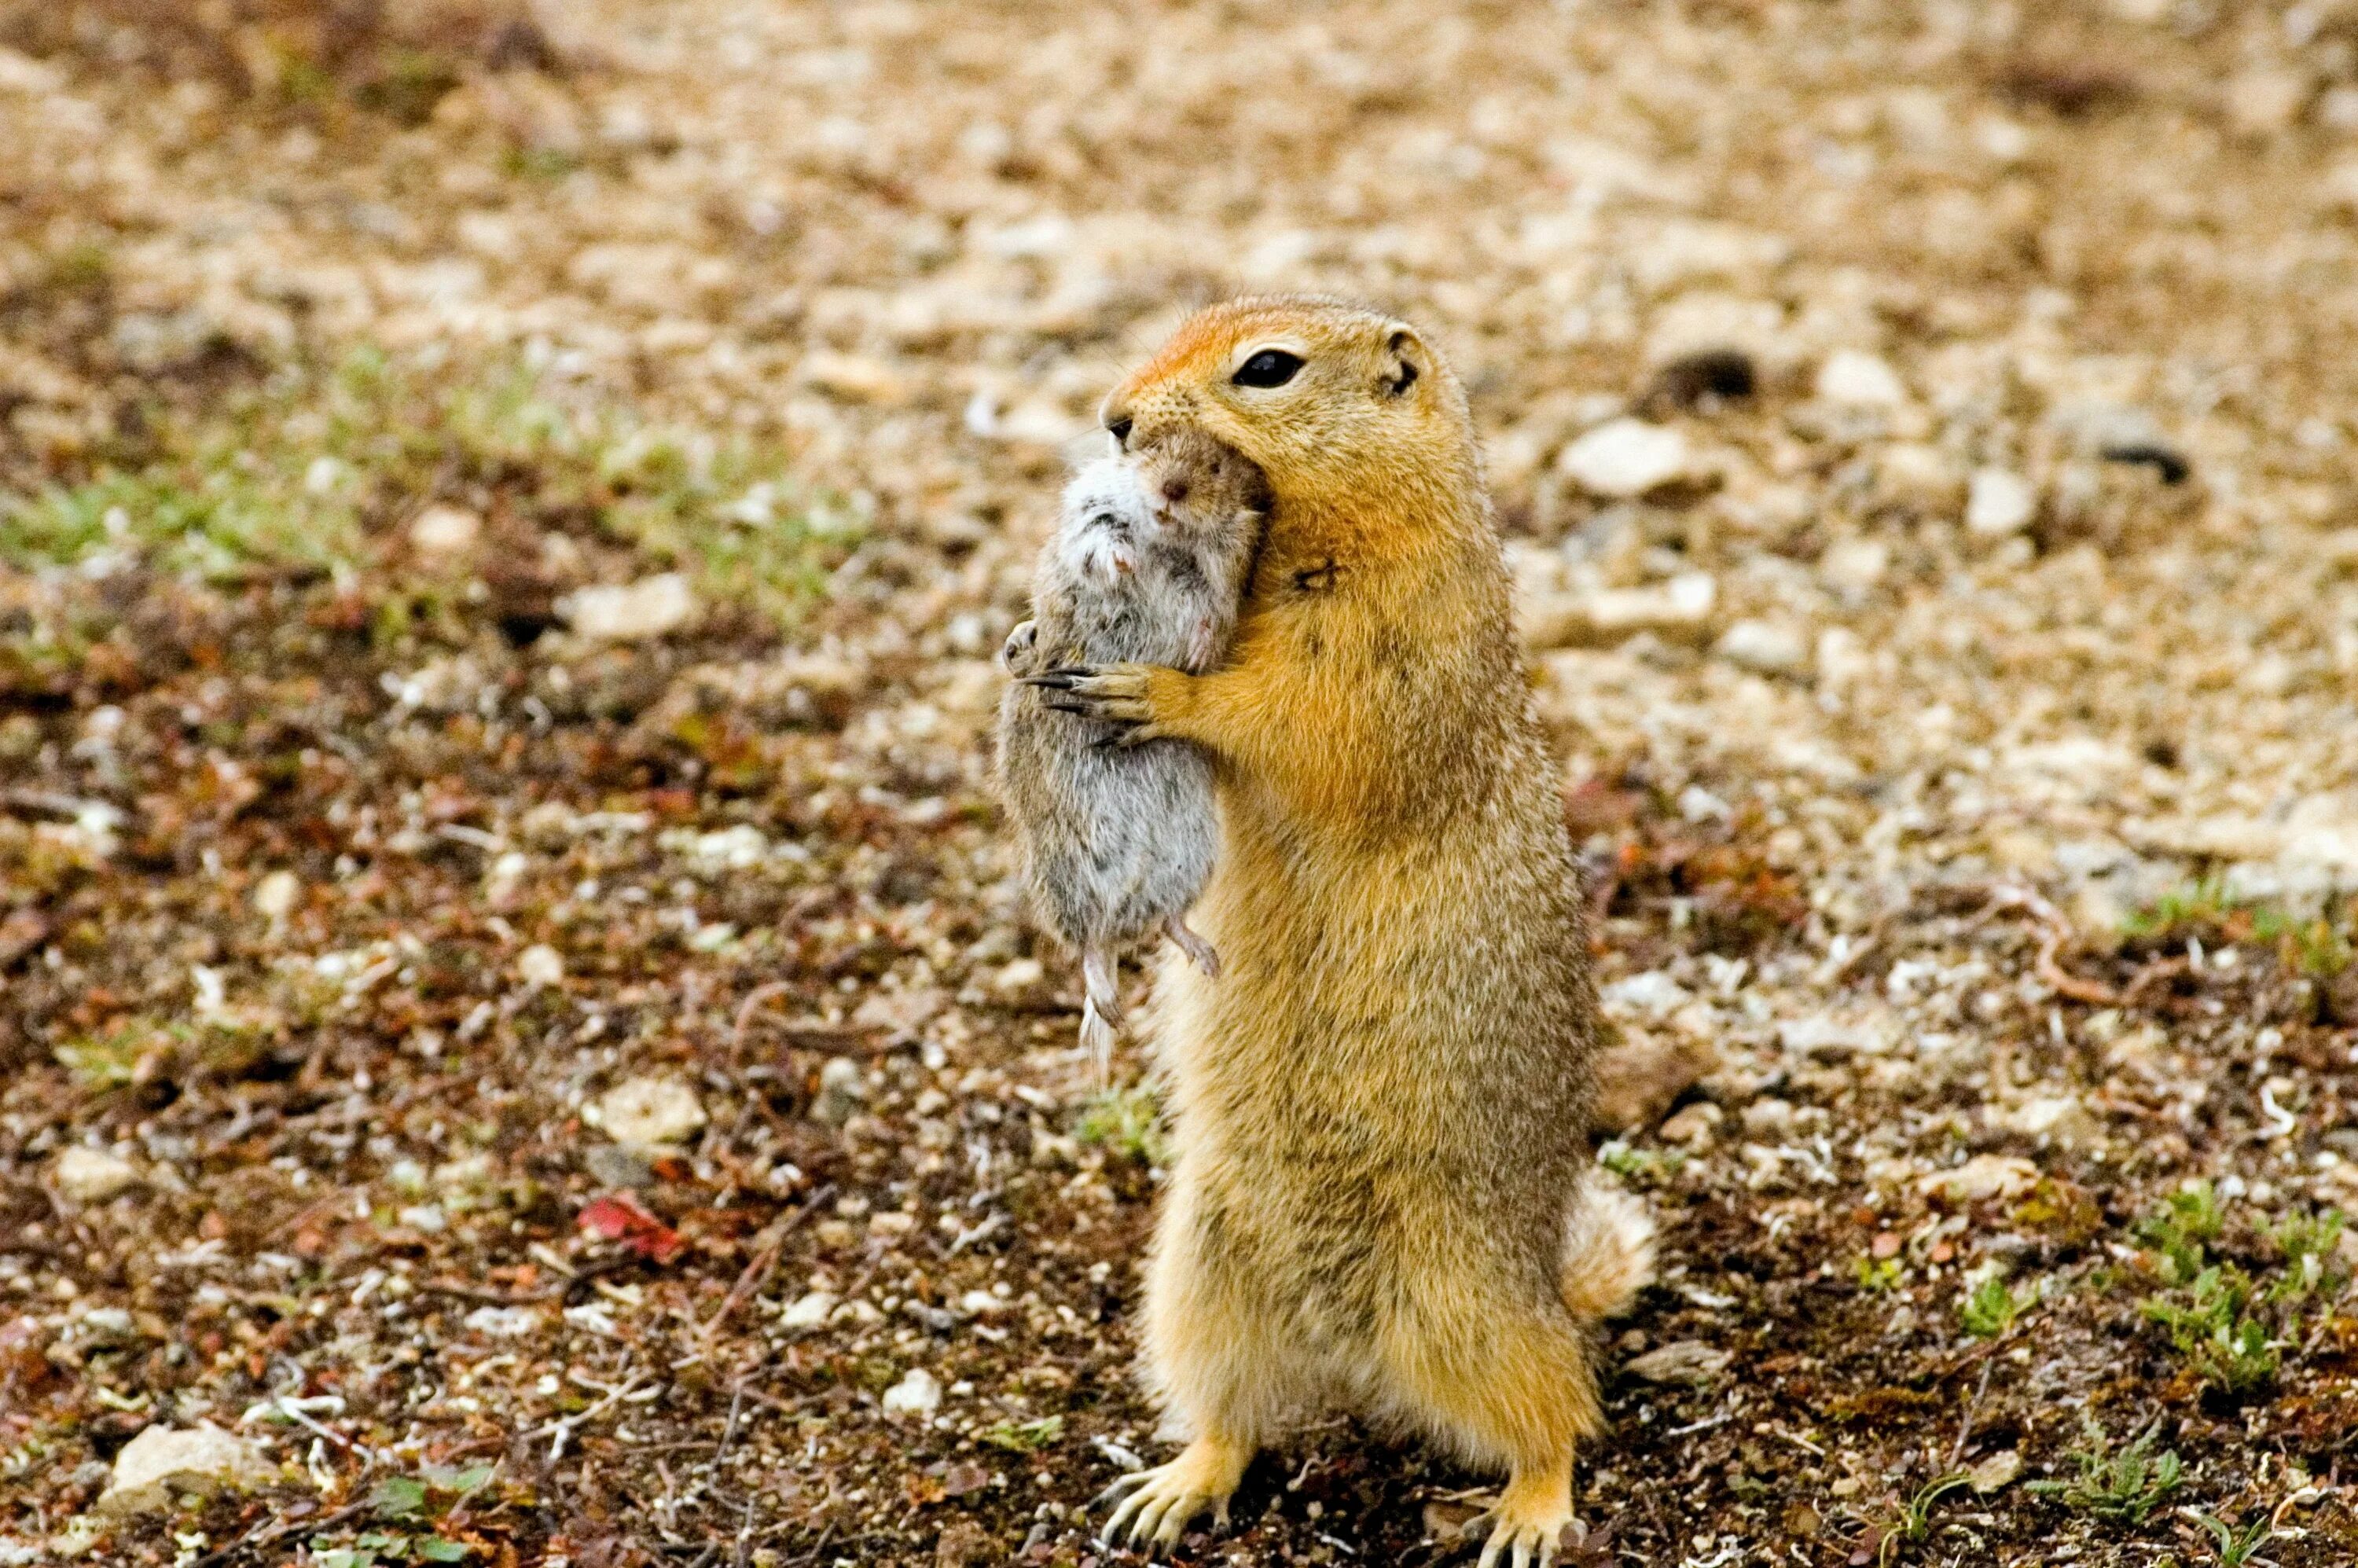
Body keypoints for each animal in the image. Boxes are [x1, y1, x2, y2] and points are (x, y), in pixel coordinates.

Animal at [1005, 424, 1283, 1066]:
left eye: (1217, 464)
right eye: (1154, 445)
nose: (1171, 490)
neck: (1171, 538)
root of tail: (1126, 906)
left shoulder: (1229, 563)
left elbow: (1211, 604)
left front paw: (1199, 652)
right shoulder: (1090, 512)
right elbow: (1100, 539)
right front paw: (1127, 561)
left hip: (1189, 860)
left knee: (1163, 926)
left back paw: (1202, 967)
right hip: (1065, 879)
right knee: (1093, 948)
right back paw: (1109, 1014)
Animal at [1033, 297, 1660, 1566]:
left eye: (1267, 367)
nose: (1116, 417)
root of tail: (1353, 1353)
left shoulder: (1381, 644)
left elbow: (1287, 712)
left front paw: (1149, 690)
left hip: (1469, 1304)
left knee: (1560, 1411)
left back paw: (1529, 1514)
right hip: (1198, 1279)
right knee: (1232, 1416)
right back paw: (1172, 1486)